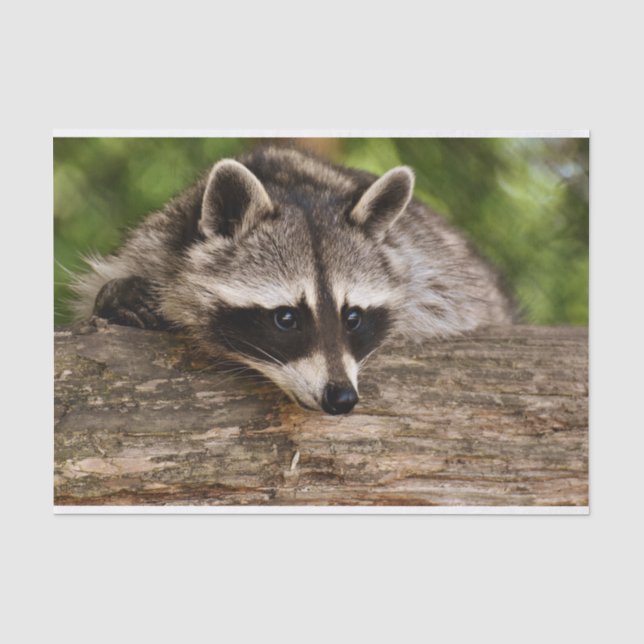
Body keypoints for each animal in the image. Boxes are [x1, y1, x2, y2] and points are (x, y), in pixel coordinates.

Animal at [72, 145, 514, 414]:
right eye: (286, 318)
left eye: (353, 317)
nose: (341, 398)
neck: (291, 184)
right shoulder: (155, 243)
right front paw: (117, 296)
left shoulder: (432, 270)